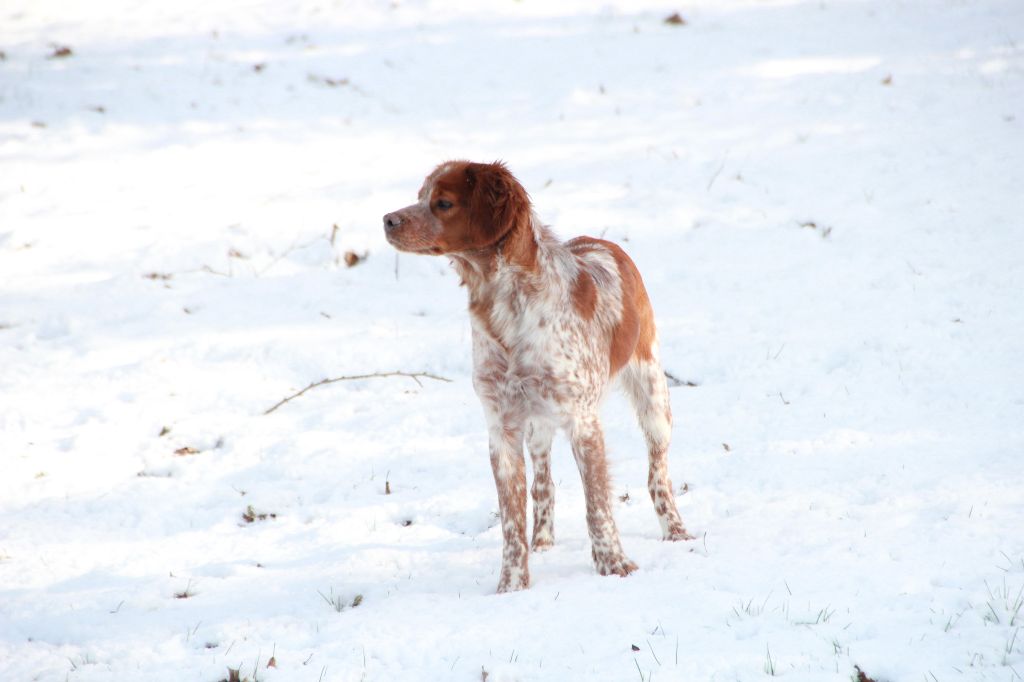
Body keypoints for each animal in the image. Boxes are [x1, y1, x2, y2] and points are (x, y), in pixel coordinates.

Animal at [380, 160, 692, 589]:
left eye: (443, 202)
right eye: (419, 196)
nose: (387, 220)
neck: (505, 308)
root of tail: (602, 242)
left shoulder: (583, 422)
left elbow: (598, 505)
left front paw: (614, 565)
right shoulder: (502, 428)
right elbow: (512, 519)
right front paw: (512, 585)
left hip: (653, 399)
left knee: (658, 473)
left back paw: (675, 531)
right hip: (538, 425)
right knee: (543, 483)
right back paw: (543, 540)